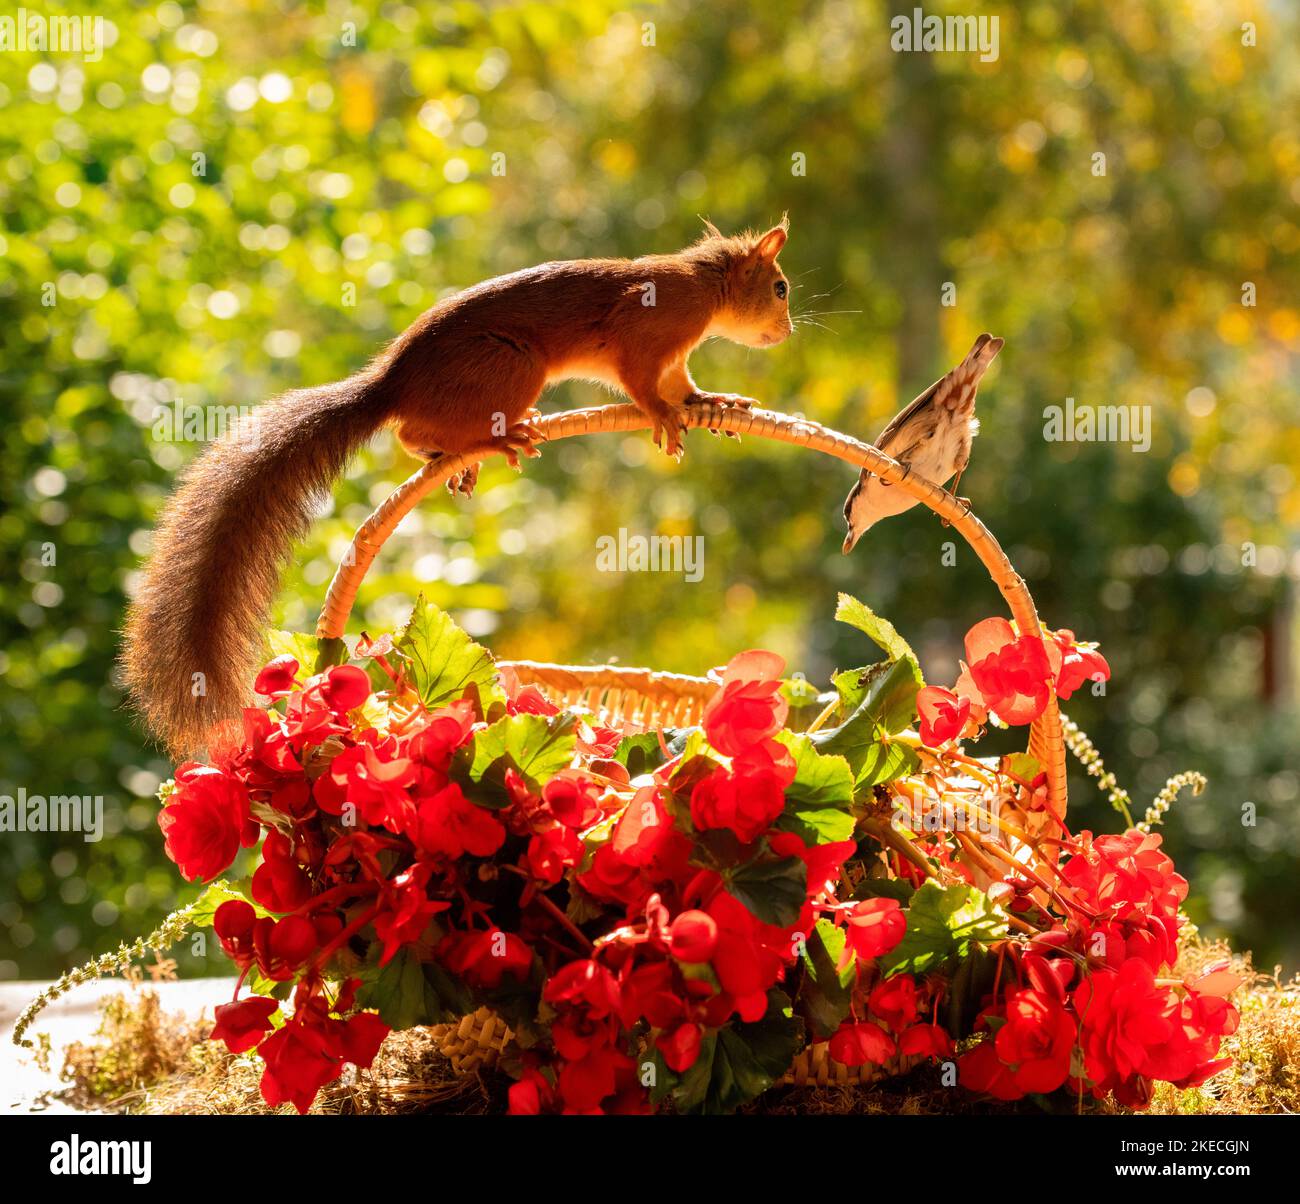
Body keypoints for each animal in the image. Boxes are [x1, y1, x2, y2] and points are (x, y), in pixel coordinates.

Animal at [124, 221, 790, 759]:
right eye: (781, 288)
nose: (785, 333)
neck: (704, 286)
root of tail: (391, 386)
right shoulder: (643, 332)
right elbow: (645, 387)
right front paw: (664, 420)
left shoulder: (674, 358)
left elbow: (683, 387)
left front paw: (716, 403)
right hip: (515, 368)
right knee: (412, 431)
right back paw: (498, 441)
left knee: (415, 436)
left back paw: (460, 456)